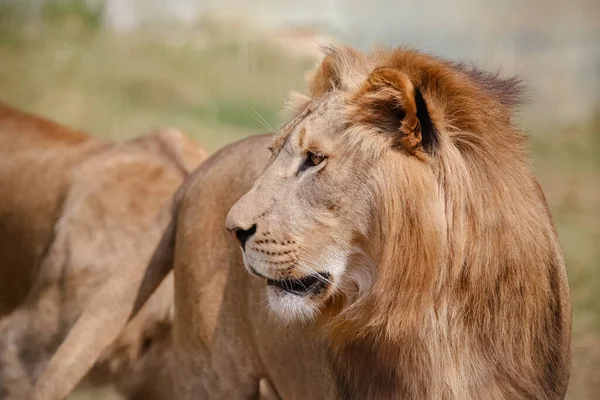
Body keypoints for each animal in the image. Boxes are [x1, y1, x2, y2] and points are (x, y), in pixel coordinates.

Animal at [31, 43, 572, 400]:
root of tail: (209, 162)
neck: (440, 309)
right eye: (275, 153)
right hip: (212, 374)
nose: (234, 230)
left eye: (314, 160)